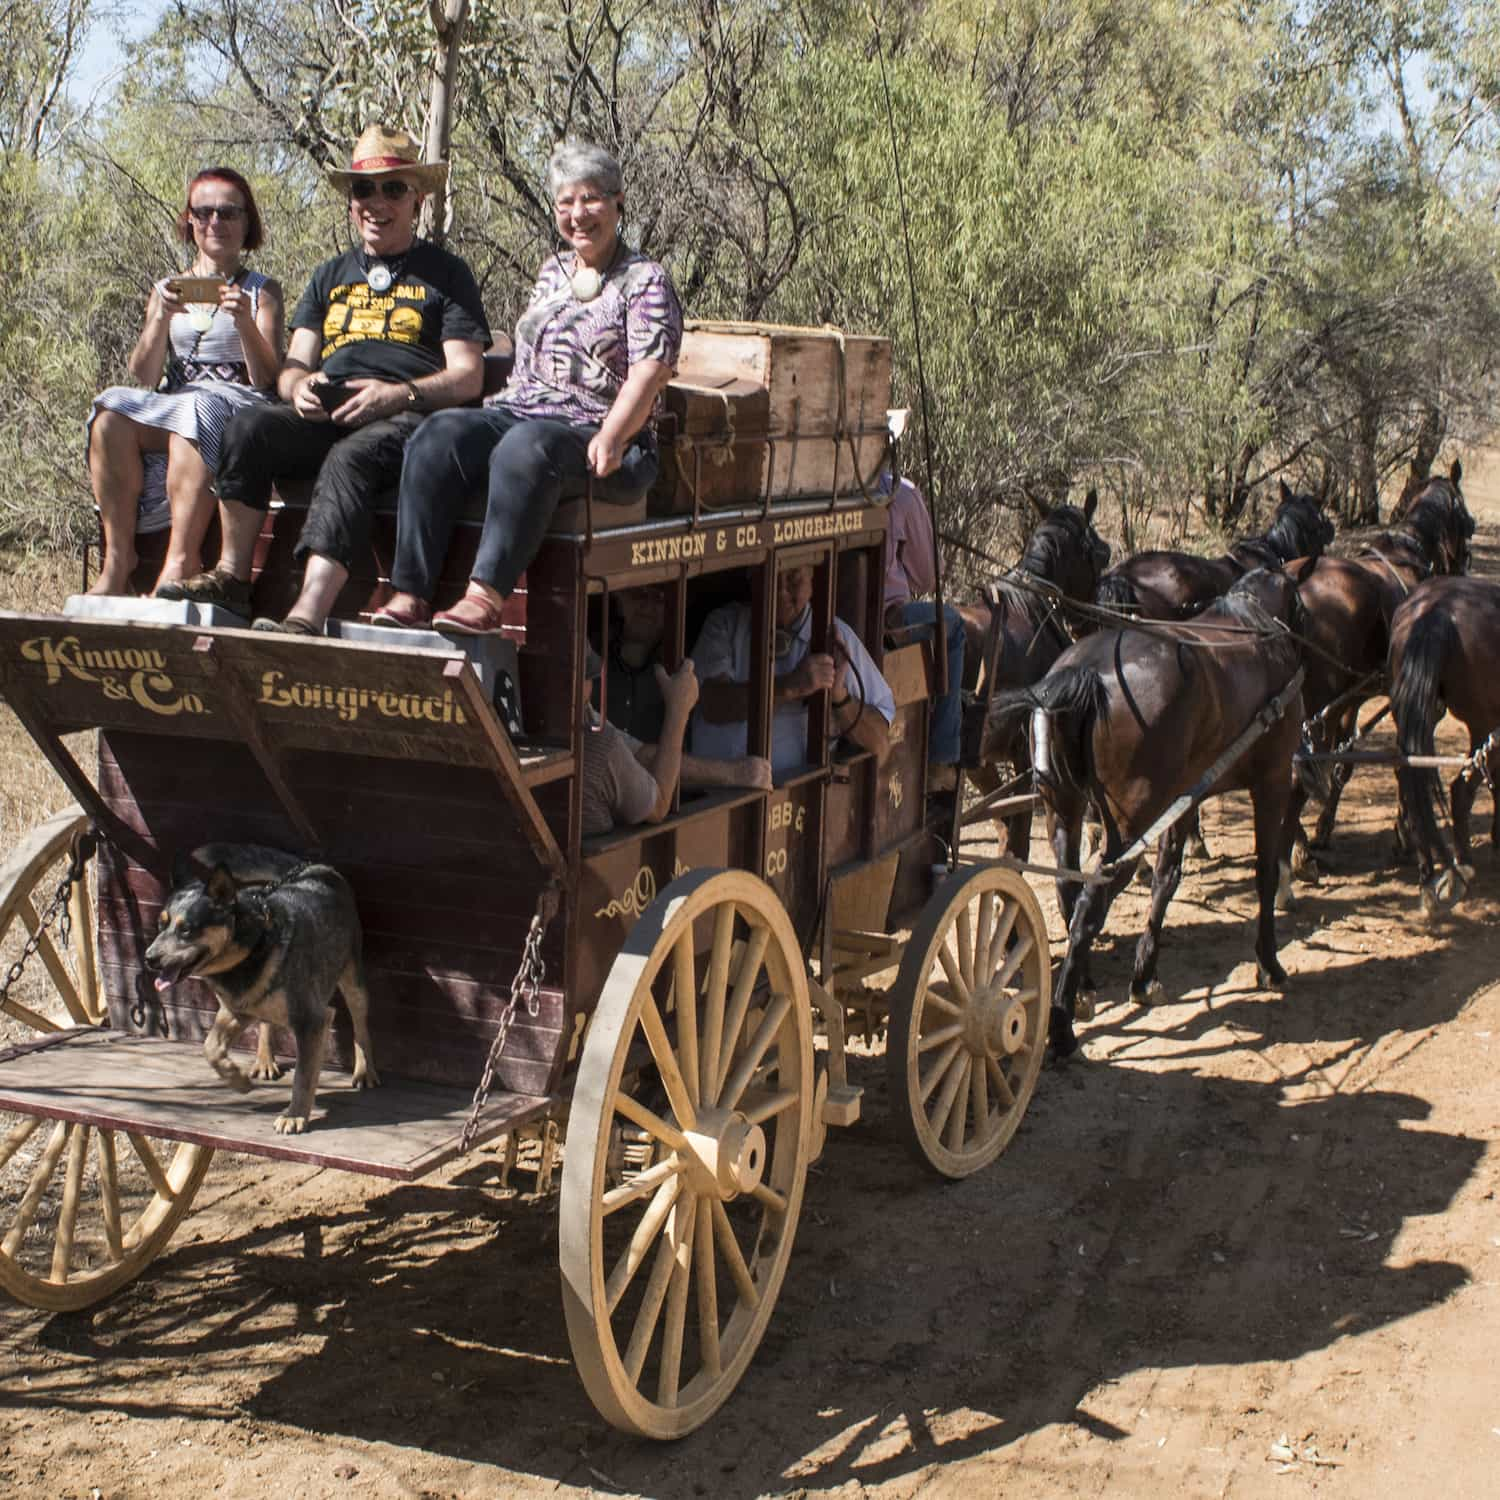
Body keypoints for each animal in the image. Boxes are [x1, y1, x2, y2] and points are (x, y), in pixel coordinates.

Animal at [144, 846, 381, 1134]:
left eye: (186, 929)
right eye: (161, 925)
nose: (149, 958)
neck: (253, 946)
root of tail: (315, 867)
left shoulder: (312, 1021)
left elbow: (304, 1076)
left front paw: (295, 1116)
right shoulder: (234, 1011)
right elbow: (210, 1048)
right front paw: (239, 1081)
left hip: (353, 980)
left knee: (360, 1025)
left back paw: (365, 1072)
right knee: (266, 1023)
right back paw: (265, 1060)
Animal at [978, 564, 1308, 1056]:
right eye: (1302, 606)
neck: (1254, 632)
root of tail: (1081, 673)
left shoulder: (1185, 798)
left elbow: (1167, 879)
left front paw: (1144, 976)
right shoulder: (1271, 782)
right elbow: (1264, 873)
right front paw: (1269, 963)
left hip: (1065, 809)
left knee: (1068, 891)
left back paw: (1080, 990)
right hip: (1130, 826)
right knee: (1090, 904)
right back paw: (1061, 1026)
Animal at [1386, 570, 1494, 912]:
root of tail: (1436, 612)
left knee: (1410, 777)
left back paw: (1427, 873)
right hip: (1483, 722)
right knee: (1462, 787)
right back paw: (1462, 863)